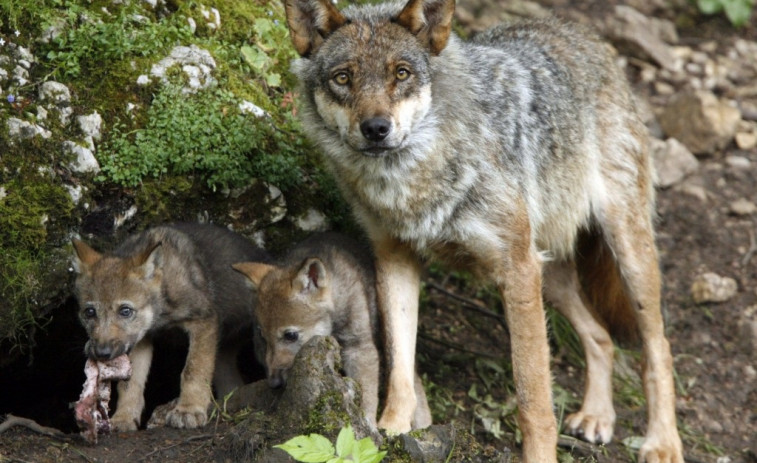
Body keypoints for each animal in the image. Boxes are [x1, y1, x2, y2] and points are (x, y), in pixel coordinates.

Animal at [71, 224, 270, 432]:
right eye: (89, 312)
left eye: (125, 311)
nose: (102, 352)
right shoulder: (140, 339)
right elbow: (130, 383)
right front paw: (123, 417)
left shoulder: (204, 321)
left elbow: (193, 370)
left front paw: (189, 410)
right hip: (223, 354)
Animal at [230, 234, 432, 430]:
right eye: (263, 338)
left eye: (291, 335)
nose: (274, 383)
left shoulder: (360, 347)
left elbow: (366, 392)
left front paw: (368, 425)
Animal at [284, 0, 684, 462]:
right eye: (343, 77)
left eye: (401, 73)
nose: (376, 129)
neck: (410, 182)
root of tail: (582, 34)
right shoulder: (395, 258)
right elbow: (400, 366)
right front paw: (389, 430)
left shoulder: (517, 270)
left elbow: (533, 398)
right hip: (549, 275)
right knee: (601, 337)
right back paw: (597, 416)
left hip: (624, 256)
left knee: (658, 349)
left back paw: (662, 442)